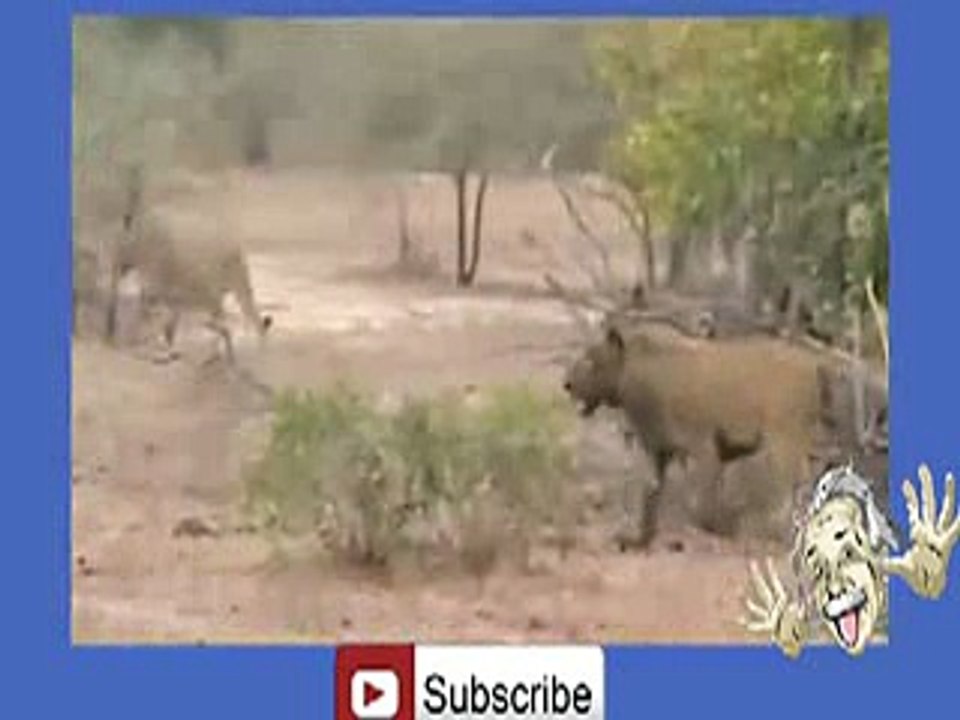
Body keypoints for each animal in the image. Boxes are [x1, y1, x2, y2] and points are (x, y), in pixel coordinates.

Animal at [562, 323, 887, 549]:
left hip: (783, 440)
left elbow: (702, 504)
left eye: (590, 360)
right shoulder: (659, 451)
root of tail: (815, 363)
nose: (566, 383)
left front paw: (726, 527)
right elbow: (651, 496)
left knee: (797, 483)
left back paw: (777, 532)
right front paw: (639, 540)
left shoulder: (704, 446)